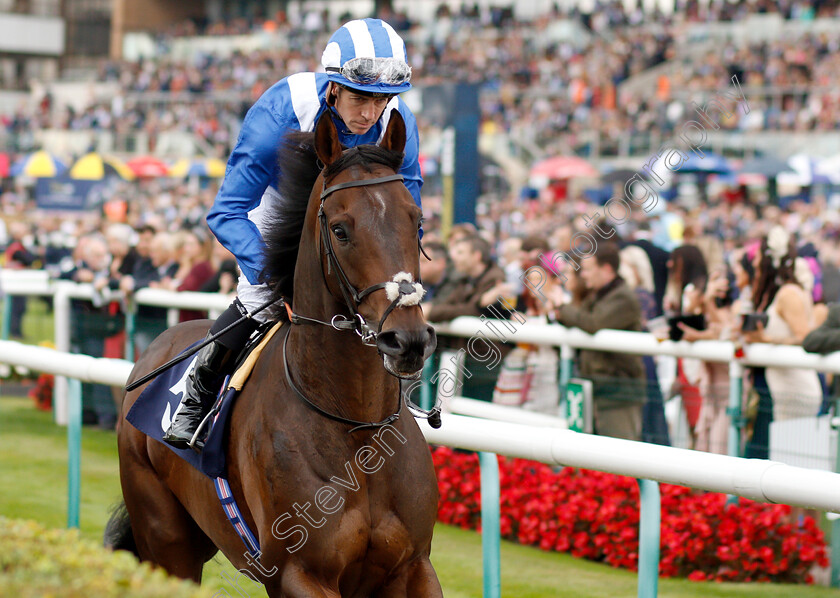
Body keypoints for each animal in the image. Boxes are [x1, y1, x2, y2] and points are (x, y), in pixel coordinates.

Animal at [112, 113, 446, 598]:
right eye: (340, 229)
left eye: (417, 220)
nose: (408, 340)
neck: (358, 429)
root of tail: (156, 346)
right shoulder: (299, 573)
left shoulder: (414, 566)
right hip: (166, 539)